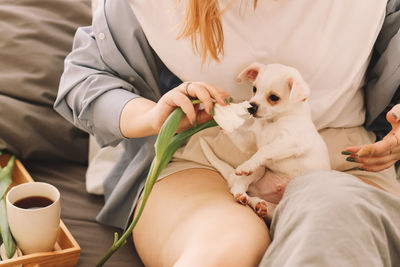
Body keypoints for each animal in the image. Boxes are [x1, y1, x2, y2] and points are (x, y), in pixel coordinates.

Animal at [200, 63, 332, 222]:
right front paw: (221, 117)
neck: (272, 122)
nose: (251, 106)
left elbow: (265, 150)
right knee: (239, 188)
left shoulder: (288, 141)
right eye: (254, 89)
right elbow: (239, 135)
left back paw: (259, 205)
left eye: (274, 97)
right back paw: (244, 197)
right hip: (259, 170)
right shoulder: (249, 141)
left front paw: (247, 164)